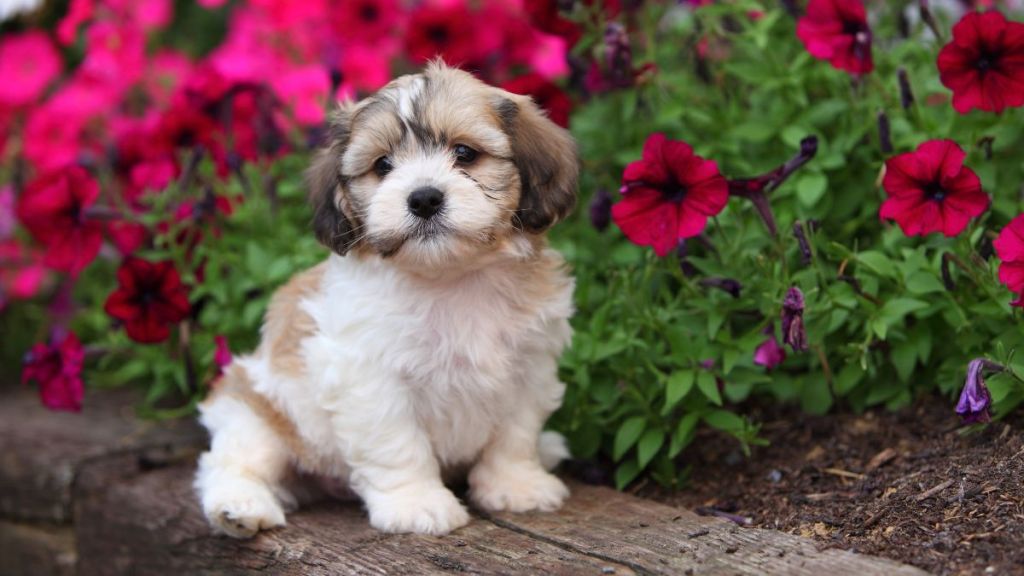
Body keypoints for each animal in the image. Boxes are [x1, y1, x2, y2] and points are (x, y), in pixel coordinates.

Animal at [192, 61, 577, 532]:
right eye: (383, 165)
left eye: (465, 153)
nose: (424, 198)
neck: (452, 276)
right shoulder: (371, 378)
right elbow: (398, 444)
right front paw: (416, 503)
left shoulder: (529, 366)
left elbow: (514, 435)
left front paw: (516, 485)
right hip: (257, 413)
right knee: (233, 461)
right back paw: (240, 506)